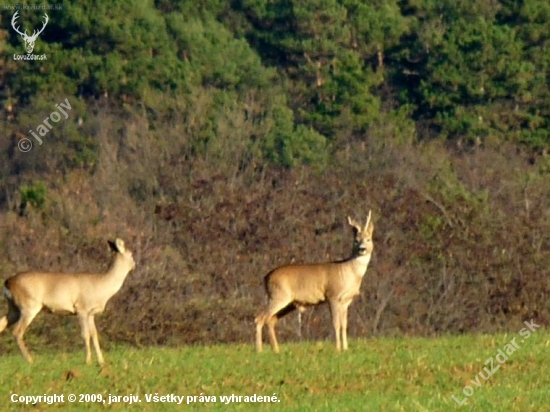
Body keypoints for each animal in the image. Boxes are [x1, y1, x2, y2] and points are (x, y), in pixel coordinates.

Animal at [0, 238, 136, 364]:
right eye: (131, 254)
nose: (134, 265)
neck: (102, 286)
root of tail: (8, 282)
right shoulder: (81, 308)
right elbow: (85, 334)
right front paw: (88, 361)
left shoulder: (91, 313)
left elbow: (94, 335)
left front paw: (101, 361)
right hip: (29, 306)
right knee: (17, 331)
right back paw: (30, 360)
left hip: (14, 308)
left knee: (2, 323)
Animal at [258, 211, 378, 352]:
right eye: (356, 241)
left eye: (368, 239)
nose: (362, 249)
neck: (348, 271)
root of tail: (266, 277)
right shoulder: (332, 295)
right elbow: (336, 323)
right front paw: (338, 349)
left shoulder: (346, 301)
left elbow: (344, 325)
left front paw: (346, 348)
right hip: (278, 295)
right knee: (260, 318)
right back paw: (259, 350)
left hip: (287, 302)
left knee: (271, 320)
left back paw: (276, 349)